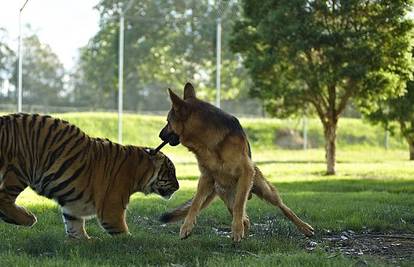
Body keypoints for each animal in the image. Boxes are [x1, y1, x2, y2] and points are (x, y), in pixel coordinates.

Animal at [0, 114, 179, 240]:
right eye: (171, 172)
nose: (178, 187)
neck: (139, 172)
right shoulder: (111, 209)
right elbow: (124, 236)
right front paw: (135, 243)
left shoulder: (72, 207)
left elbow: (74, 226)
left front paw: (84, 241)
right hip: (18, 170)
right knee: (4, 199)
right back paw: (28, 218)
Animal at [158, 82, 314, 242]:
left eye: (168, 122)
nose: (159, 135)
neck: (210, 143)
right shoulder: (206, 178)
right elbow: (196, 202)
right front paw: (187, 226)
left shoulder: (246, 173)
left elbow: (240, 204)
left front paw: (237, 230)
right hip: (225, 195)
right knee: (244, 218)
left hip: (264, 189)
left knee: (283, 207)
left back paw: (304, 227)